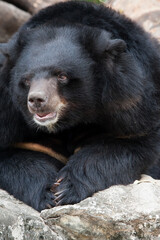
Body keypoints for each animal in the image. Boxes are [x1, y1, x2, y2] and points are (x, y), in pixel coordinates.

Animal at [0, 0, 160, 210]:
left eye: (62, 76)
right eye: (26, 80)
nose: (36, 100)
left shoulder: (129, 103)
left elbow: (123, 144)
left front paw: (65, 188)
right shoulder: (10, 116)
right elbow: (21, 153)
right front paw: (49, 192)